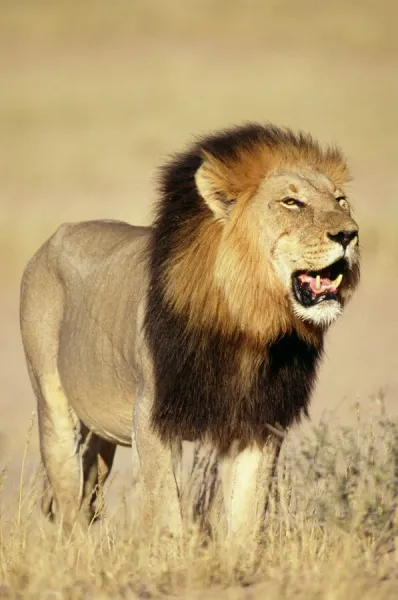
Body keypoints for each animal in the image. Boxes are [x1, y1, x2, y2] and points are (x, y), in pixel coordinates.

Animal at [20, 124, 360, 548]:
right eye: (291, 202)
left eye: (341, 200)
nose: (349, 234)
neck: (245, 322)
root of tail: (54, 237)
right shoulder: (151, 413)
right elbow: (167, 509)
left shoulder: (258, 422)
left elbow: (246, 513)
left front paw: (239, 558)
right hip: (53, 409)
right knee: (68, 502)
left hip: (99, 436)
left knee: (87, 494)